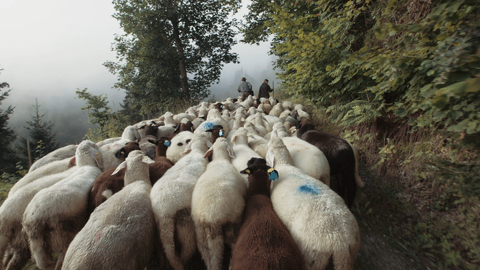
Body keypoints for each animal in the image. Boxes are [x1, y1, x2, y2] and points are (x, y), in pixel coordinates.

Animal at [22, 140, 104, 268]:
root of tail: (35, 216)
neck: (86, 165)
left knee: (42, 262)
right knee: (62, 256)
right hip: (63, 231)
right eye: (94, 145)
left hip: (36, 240)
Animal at [189, 138, 246, 268]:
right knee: (232, 247)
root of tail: (211, 219)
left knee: (207, 255)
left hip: (200, 233)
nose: (221, 138)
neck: (220, 159)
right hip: (232, 225)